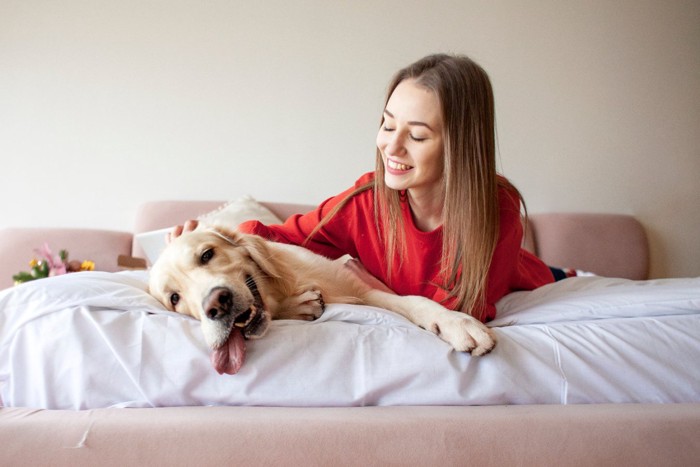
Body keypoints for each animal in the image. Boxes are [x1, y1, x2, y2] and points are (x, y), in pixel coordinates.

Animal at [150, 228, 494, 376]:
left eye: (207, 254)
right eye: (174, 298)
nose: (217, 305)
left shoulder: (364, 290)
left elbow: (415, 301)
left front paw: (458, 323)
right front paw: (301, 306)